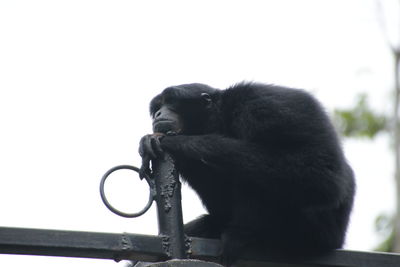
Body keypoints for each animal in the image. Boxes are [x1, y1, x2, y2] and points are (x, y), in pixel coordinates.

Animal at [139, 83, 354, 264]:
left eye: (170, 102)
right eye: (158, 106)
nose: (159, 112)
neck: (223, 115)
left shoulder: (264, 107)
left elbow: (321, 175)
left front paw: (174, 142)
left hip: (312, 230)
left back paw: (243, 233)